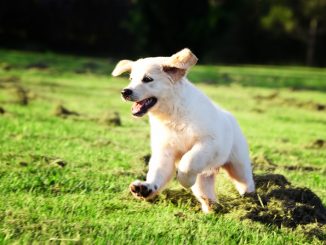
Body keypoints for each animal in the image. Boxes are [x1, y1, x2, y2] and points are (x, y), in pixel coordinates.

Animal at [112, 47, 255, 212]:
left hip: (238, 163)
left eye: (147, 79)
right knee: (205, 189)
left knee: (245, 180)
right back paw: (211, 208)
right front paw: (145, 188)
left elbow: (188, 161)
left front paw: (184, 180)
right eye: (131, 79)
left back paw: (250, 198)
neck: (173, 115)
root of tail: (229, 115)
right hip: (205, 176)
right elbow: (157, 172)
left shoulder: (209, 143)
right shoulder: (164, 151)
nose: (125, 92)